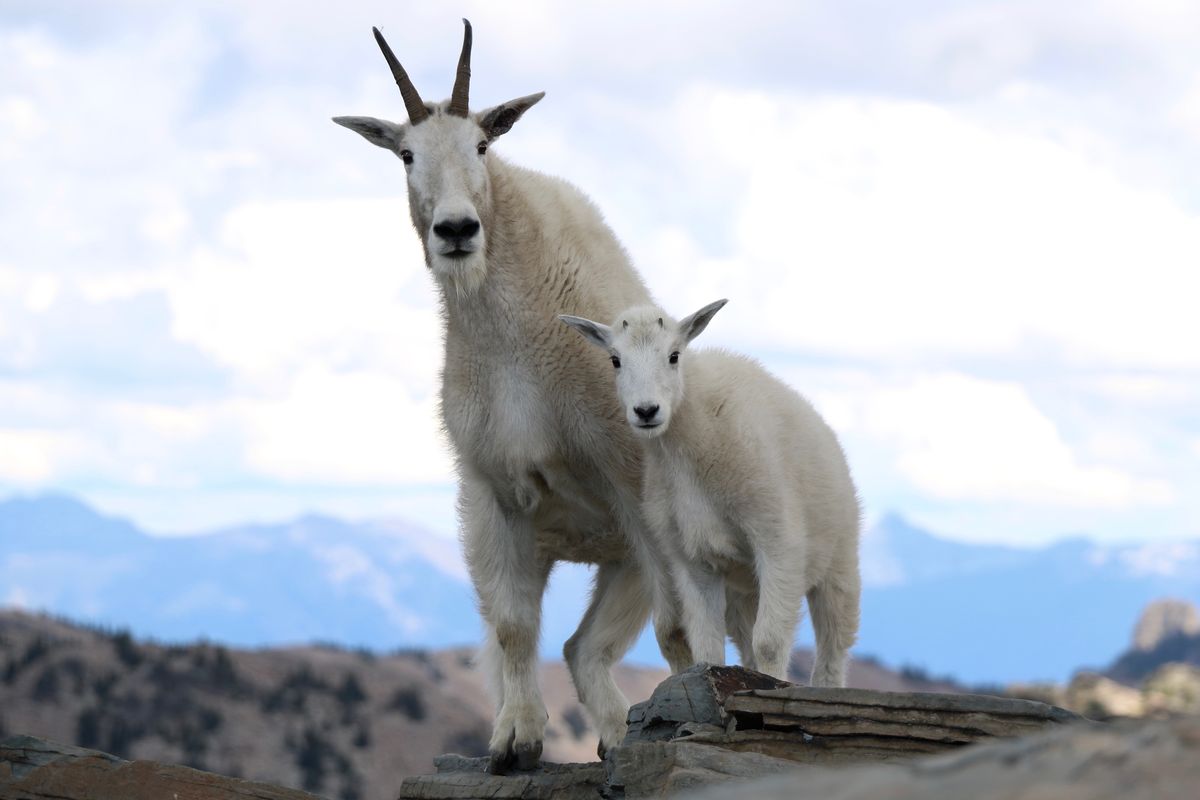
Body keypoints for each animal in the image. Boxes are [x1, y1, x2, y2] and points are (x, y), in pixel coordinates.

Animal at [333, 20, 691, 767]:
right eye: (406, 154)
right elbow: (512, 627)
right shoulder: (492, 495)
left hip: (630, 555)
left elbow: (677, 628)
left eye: (482, 145)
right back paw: (606, 735)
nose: (456, 230)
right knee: (576, 648)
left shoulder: (632, 487)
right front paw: (514, 741)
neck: (511, 337)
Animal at [561, 303, 864, 686]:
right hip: (743, 588)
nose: (646, 411)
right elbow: (707, 647)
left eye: (674, 355)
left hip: (839, 562)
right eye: (615, 360)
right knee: (747, 642)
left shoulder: (777, 542)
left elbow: (769, 642)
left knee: (833, 645)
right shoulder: (693, 561)